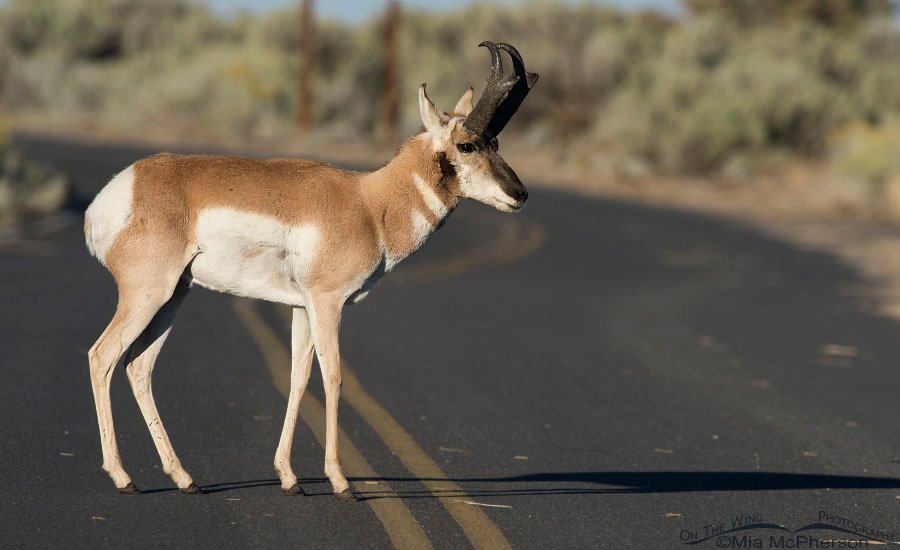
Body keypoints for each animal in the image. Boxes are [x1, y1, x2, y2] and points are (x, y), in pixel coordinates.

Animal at [84, 41, 538, 500]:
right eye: (466, 145)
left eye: (496, 141)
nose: (519, 194)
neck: (370, 203)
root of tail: (116, 193)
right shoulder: (327, 303)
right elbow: (333, 377)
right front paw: (340, 480)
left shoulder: (302, 307)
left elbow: (298, 378)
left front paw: (289, 476)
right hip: (148, 294)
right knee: (102, 355)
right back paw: (122, 476)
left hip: (175, 296)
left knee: (138, 366)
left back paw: (183, 477)